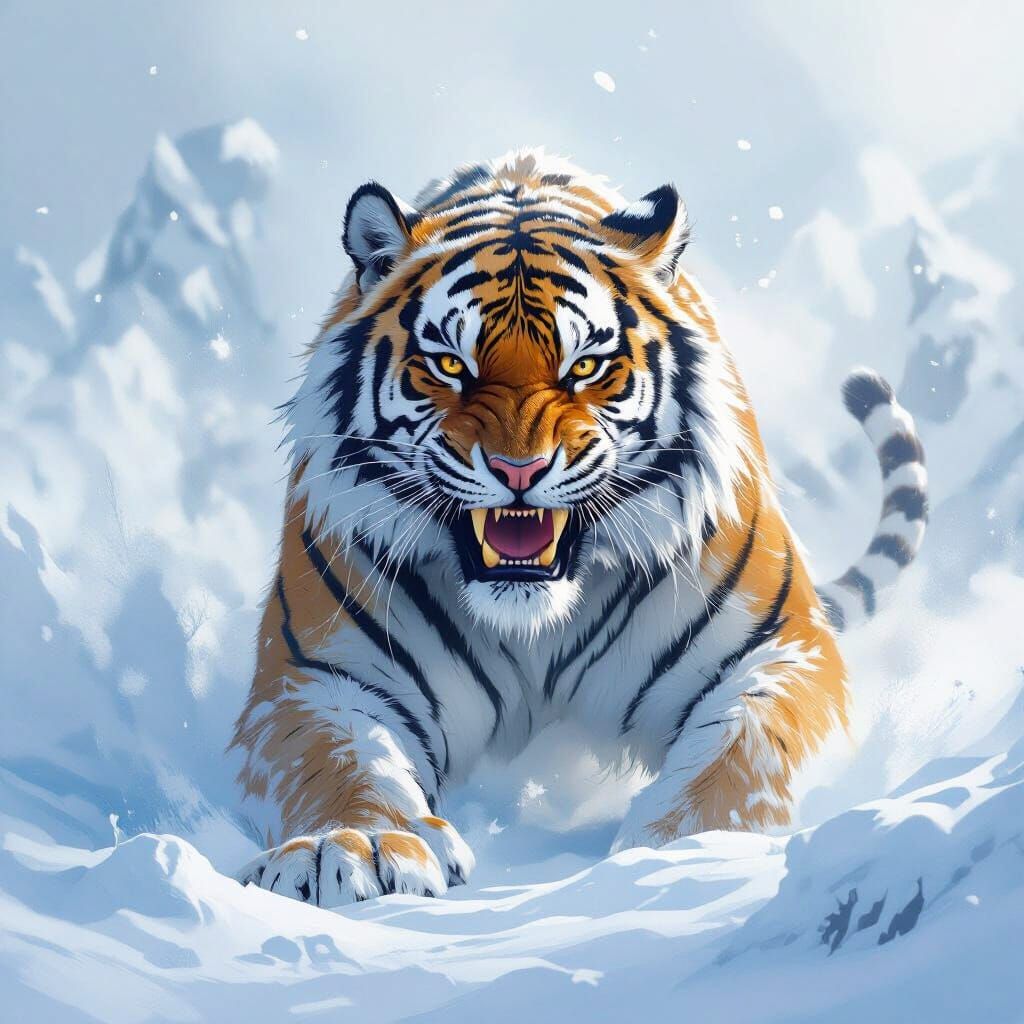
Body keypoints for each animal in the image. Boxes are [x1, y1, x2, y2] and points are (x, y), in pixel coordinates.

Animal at [230, 149, 927, 907]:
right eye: (449, 364)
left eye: (586, 367)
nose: (519, 469)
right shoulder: (316, 679)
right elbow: (340, 766)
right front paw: (353, 845)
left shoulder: (780, 650)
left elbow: (746, 752)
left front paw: (687, 849)